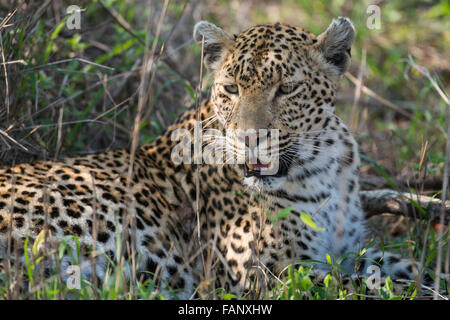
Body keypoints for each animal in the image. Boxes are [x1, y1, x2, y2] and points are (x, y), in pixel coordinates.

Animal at [0, 16, 438, 298]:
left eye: (287, 89)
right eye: (230, 88)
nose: (250, 139)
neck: (321, 165)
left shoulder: (347, 252)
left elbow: (411, 269)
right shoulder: (274, 274)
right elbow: (379, 287)